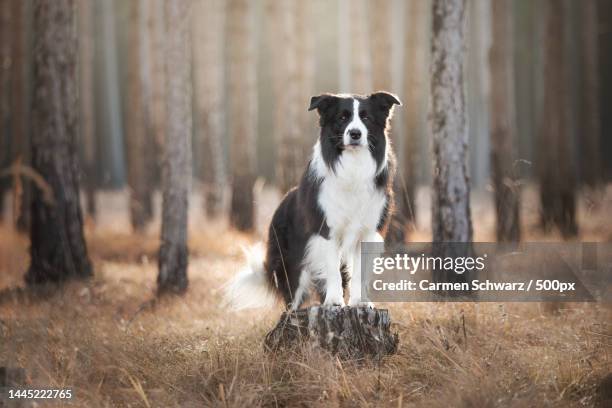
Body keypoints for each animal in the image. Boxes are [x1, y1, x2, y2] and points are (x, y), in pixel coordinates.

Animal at [226, 91, 402, 310]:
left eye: (366, 118)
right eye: (342, 118)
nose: (355, 134)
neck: (353, 166)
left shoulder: (368, 232)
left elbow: (358, 274)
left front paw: (360, 302)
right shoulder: (326, 230)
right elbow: (332, 270)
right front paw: (334, 301)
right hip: (292, 263)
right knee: (292, 297)